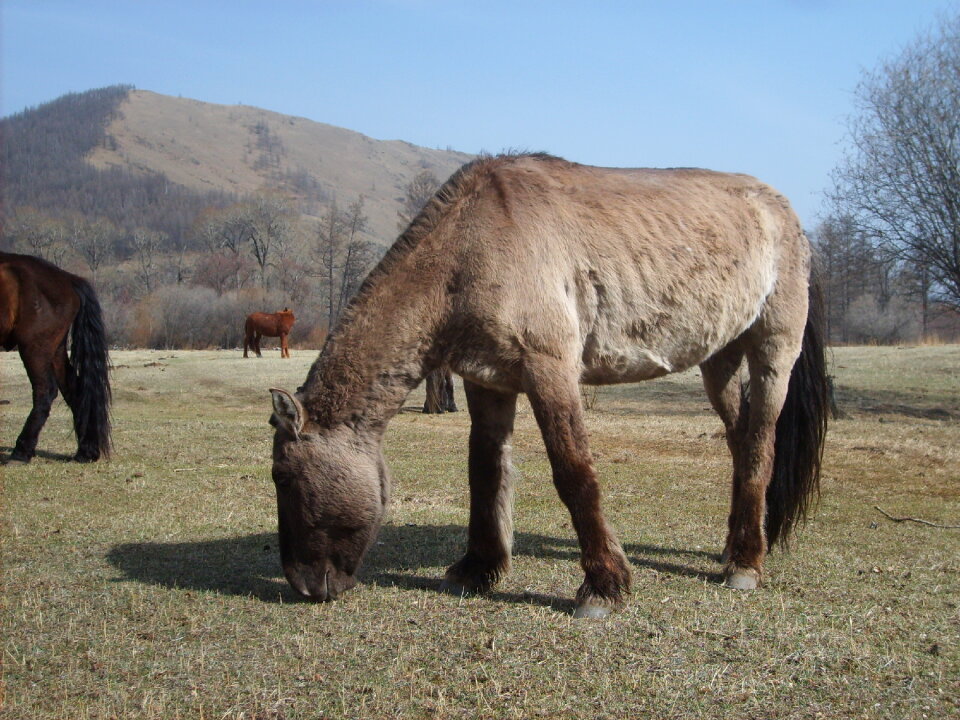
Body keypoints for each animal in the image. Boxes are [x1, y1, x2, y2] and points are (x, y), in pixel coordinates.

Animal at [0, 253, 111, 464]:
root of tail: (67, 279)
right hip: (55, 351)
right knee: (74, 390)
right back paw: (86, 451)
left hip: (35, 348)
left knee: (45, 391)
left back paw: (21, 452)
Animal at [266, 155, 828, 616]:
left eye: (283, 478)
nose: (303, 586)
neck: (470, 244)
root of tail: (785, 213)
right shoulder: (488, 381)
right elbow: (485, 471)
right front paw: (479, 568)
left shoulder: (550, 371)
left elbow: (574, 473)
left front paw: (602, 587)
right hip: (719, 361)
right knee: (739, 441)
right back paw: (735, 547)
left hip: (772, 354)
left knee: (759, 446)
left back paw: (745, 565)